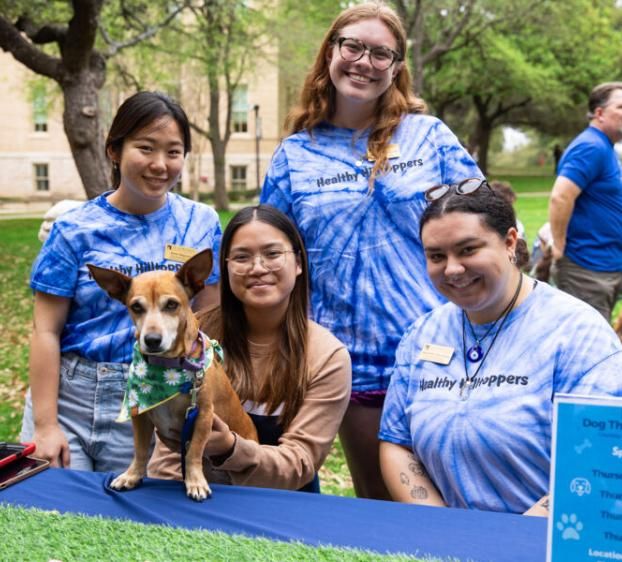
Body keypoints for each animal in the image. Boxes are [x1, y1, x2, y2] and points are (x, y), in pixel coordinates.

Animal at [88, 249, 258, 498]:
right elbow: (140, 450)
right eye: (136, 307)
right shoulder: (140, 416)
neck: (166, 366)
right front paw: (132, 475)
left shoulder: (202, 415)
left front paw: (195, 481)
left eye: (171, 304)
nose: (152, 340)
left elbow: (194, 451)